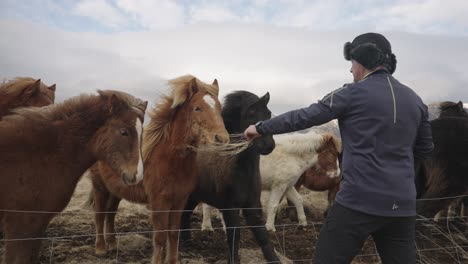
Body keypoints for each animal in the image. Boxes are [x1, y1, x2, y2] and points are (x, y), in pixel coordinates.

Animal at [88, 75, 229, 262]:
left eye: (220, 108)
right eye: (197, 108)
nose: (222, 139)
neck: (172, 160)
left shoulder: (179, 201)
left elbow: (174, 233)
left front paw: (172, 260)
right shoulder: (159, 202)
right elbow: (160, 237)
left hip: (116, 190)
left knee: (110, 214)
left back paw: (112, 244)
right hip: (100, 187)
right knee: (99, 215)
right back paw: (101, 248)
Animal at [180, 91, 280, 264]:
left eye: (268, 114)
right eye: (251, 113)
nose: (268, 145)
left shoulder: (252, 206)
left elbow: (262, 235)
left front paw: (274, 259)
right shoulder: (229, 207)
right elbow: (234, 236)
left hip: (193, 197)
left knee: (185, 215)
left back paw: (187, 243)